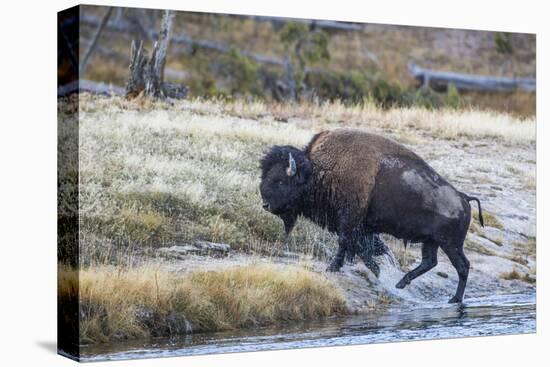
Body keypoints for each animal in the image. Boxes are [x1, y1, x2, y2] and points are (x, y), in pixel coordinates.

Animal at [260, 128, 486, 304]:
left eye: (279, 180)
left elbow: (348, 244)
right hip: (431, 241)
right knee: (430, 262)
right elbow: (359, 247)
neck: (318, 170)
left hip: (450, 244)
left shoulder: (350, 221)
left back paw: (454, 299)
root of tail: (463, 198)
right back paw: (401, 284)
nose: (265, 204)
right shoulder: (356, 226)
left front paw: (336, 267)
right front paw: (371, 267)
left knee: (462, 266)